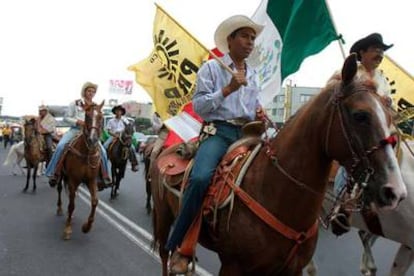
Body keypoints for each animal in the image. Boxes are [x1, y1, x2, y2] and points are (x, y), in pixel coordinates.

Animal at [55, 101, 104, 239]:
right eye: (87, 116)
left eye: (101, 117)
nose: (93, 139)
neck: (86, 153)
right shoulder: (73, 180)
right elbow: (71, 205)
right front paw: (67, 229)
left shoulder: (91, 180)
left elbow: (94, 201)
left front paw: (87, 227)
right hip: (62, 175)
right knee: (60, 189)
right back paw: (60, 209)